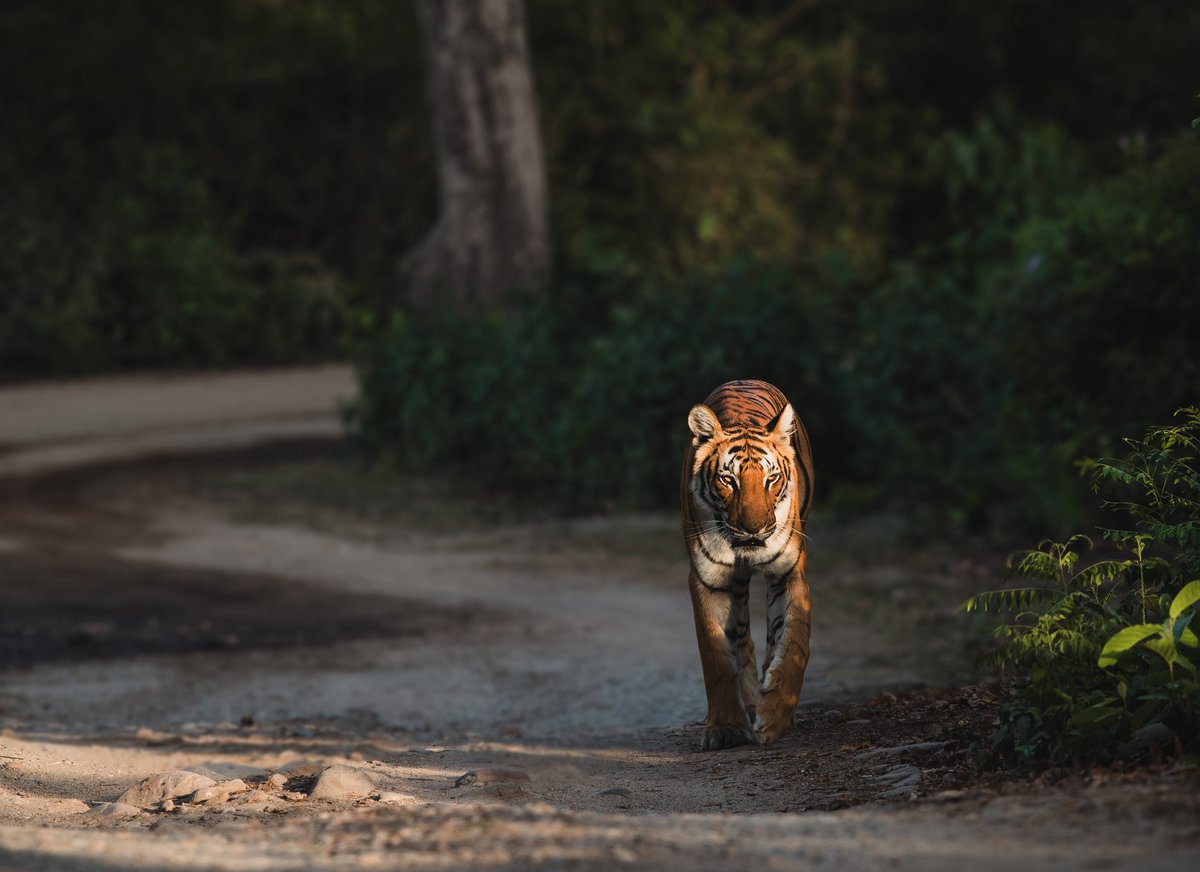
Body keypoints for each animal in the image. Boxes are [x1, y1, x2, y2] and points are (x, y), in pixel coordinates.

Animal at [681, 376, 811, 748]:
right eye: (728, 479)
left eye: (772, 478)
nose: (754, 529)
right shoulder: (708, 579)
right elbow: (716, 658)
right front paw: (725, 727)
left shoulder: (788, 572)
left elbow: (794, 641)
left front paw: (775, 715)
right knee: (741, 638)